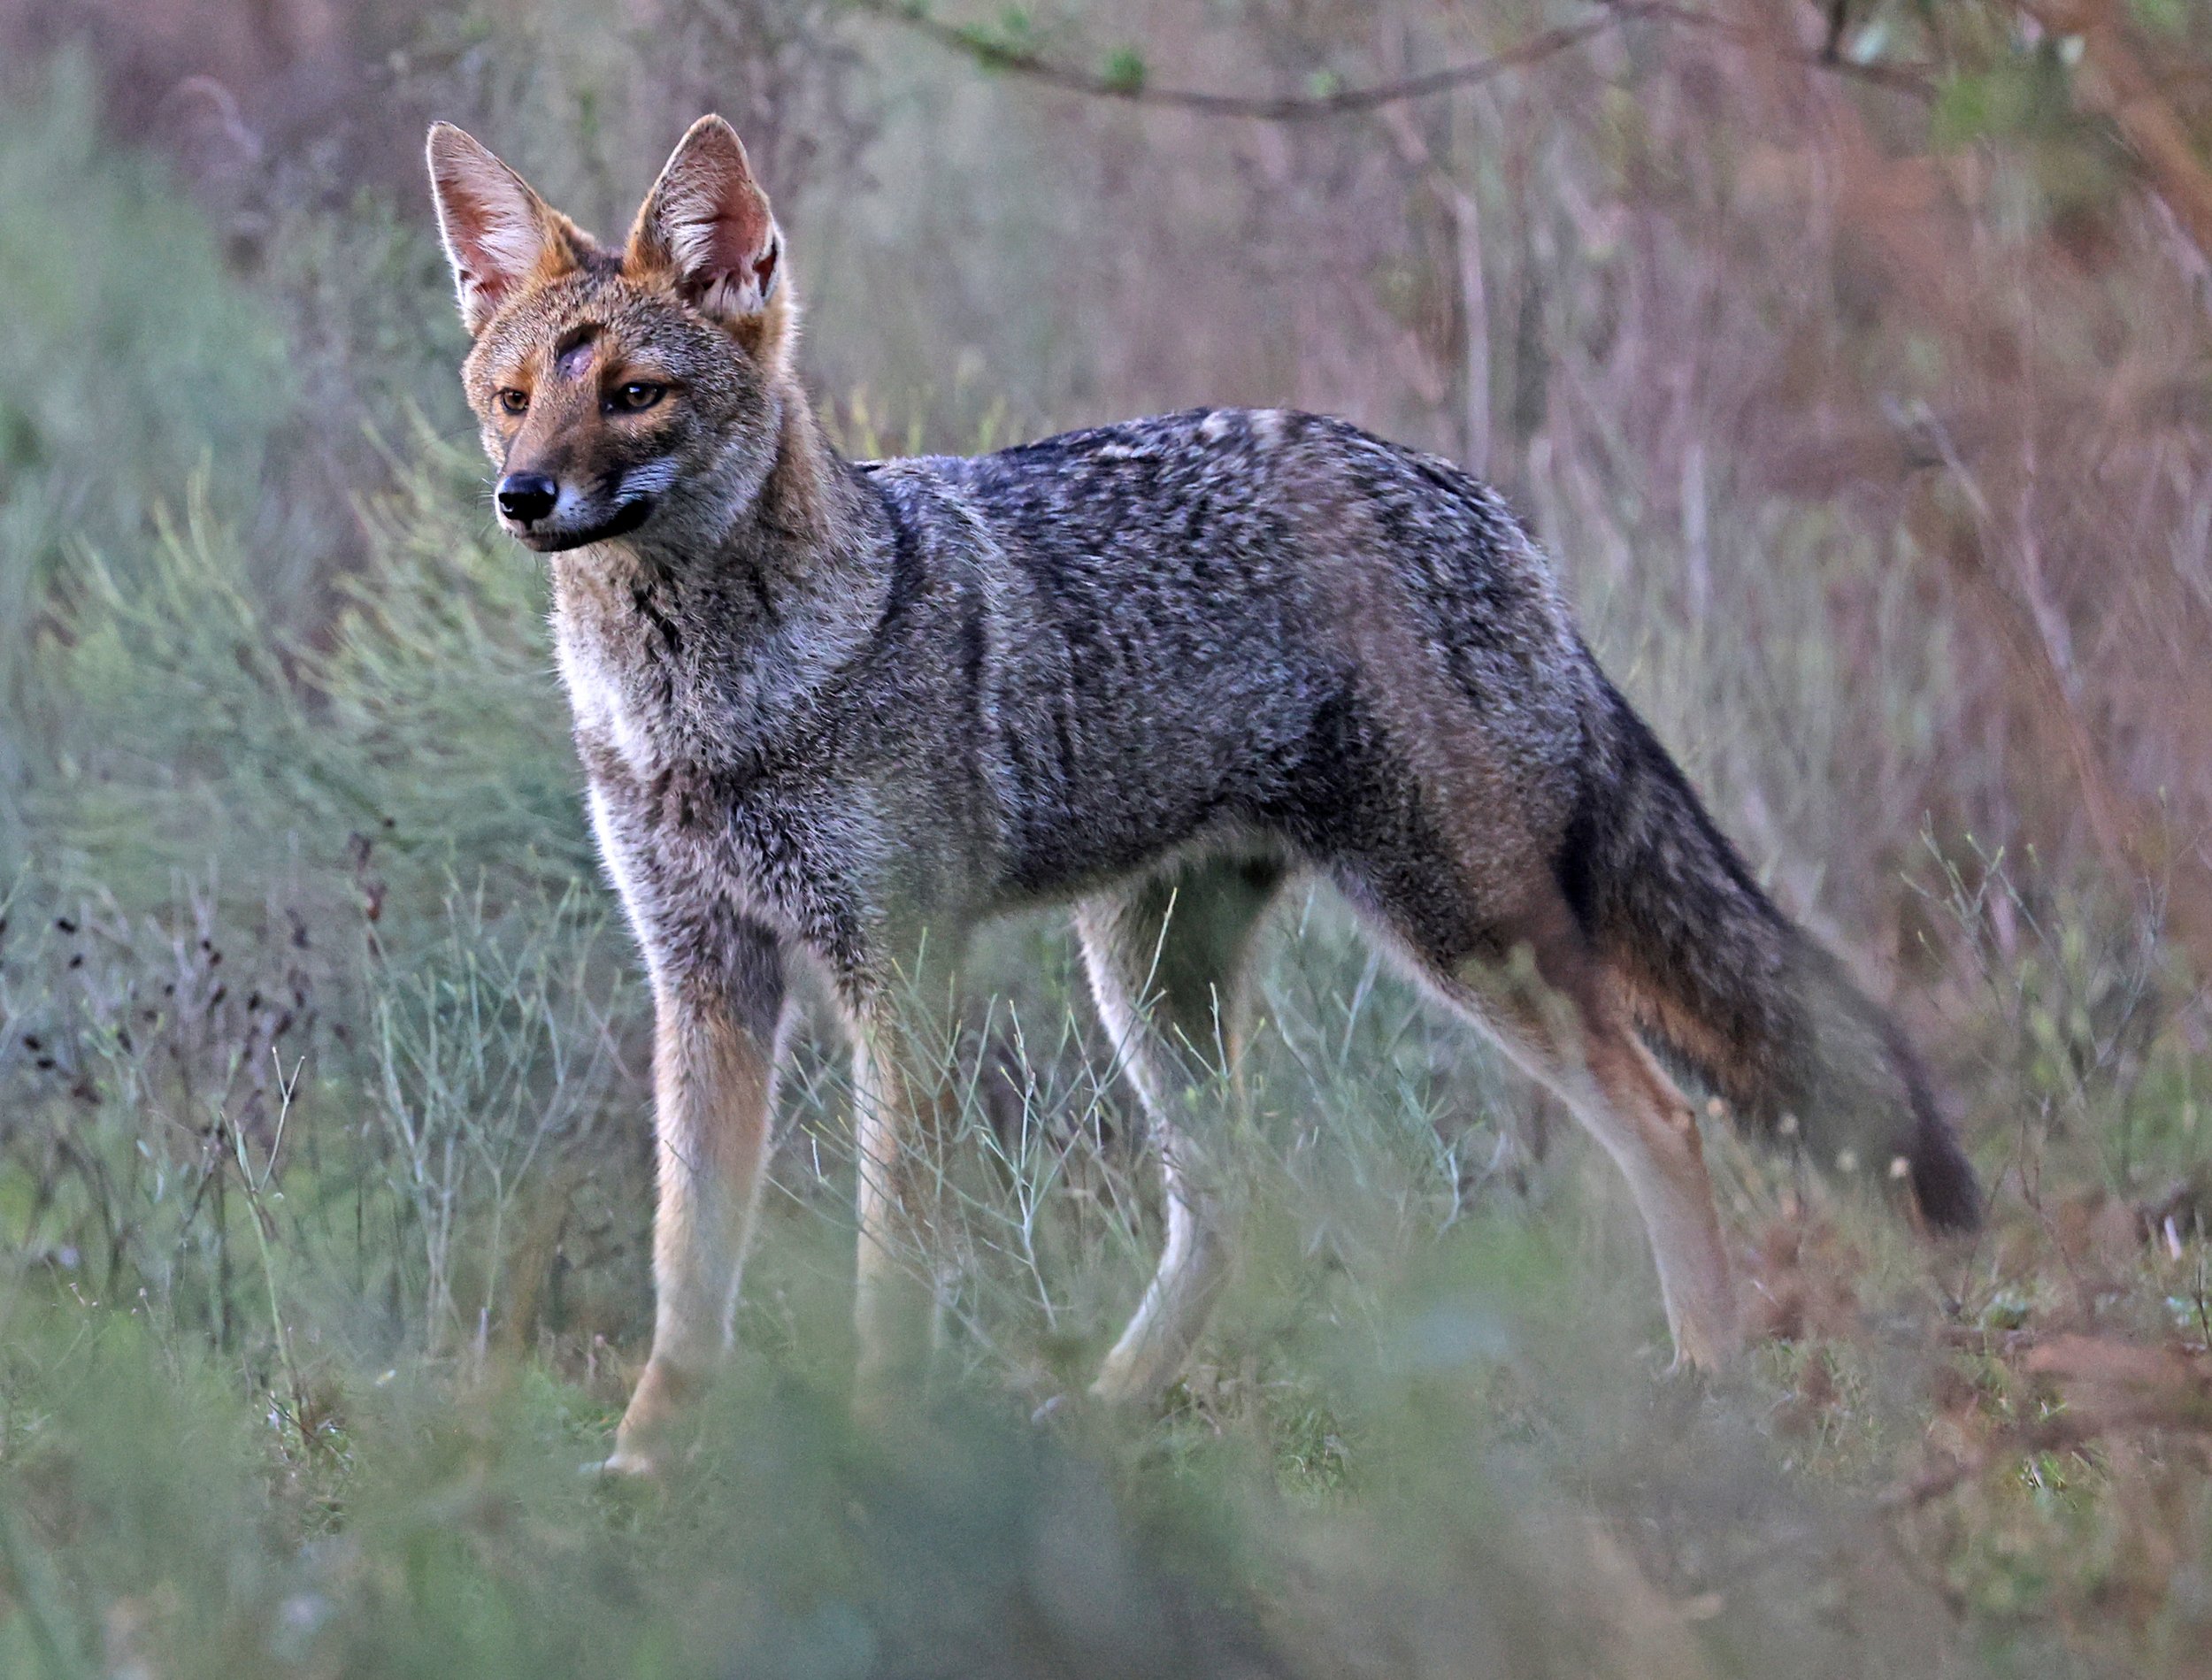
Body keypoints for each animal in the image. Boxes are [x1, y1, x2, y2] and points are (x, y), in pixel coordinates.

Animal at [427, 114, 1979, 1475]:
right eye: (515, 399)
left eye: (635, 394)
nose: (523, 494)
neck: (704, 718)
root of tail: (1473, 496)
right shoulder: (705, 974)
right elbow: (688, 1268)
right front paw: (646, 1461)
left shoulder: (899, 974)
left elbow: (891, 1267)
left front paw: (878, 1451)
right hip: (1149, 977)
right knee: (1239, 1205)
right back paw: (1113, 1407)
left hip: (1461, 937)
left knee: (1663, 1121)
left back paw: (1707, 1383)